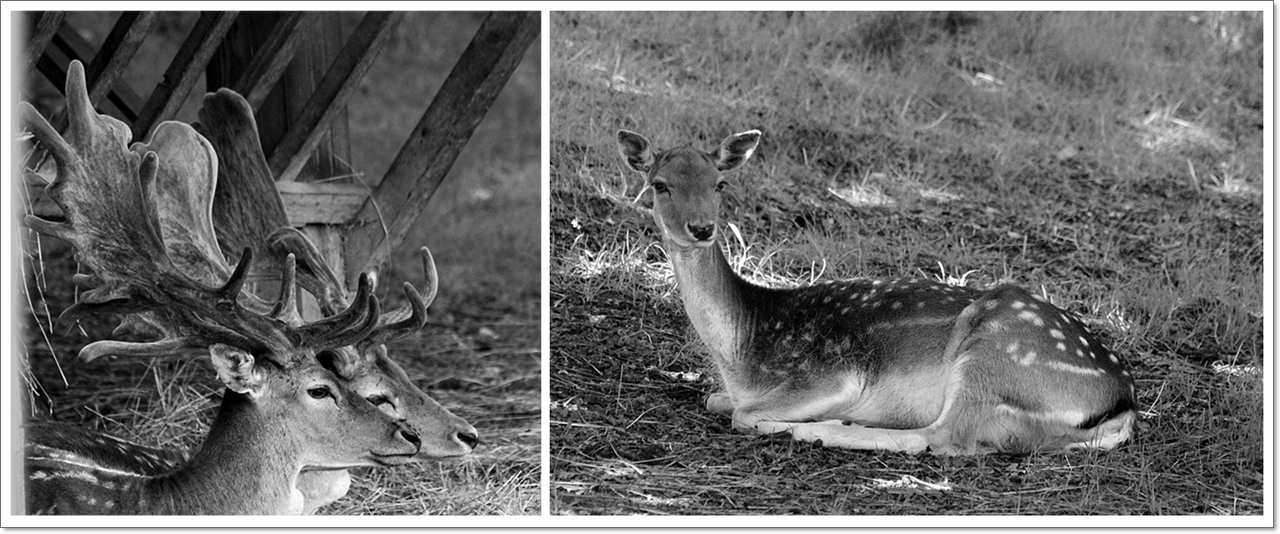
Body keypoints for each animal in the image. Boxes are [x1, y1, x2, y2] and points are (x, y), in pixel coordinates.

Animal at [614, 129, 1136, 453]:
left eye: (720, 183)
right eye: (659, 184)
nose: (702, 228)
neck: (742, 350)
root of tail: (1124, 401)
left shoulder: (833, 373)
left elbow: (742, 412)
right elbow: (716, 399)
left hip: (992, 358)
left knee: (939, 438)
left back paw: (827, 429)